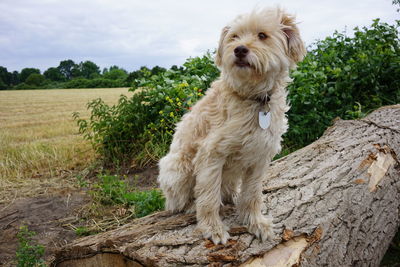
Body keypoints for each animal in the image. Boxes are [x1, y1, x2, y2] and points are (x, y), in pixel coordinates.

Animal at [158, 6, 304, 245]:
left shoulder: (260, 156)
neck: (254, 97)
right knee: (176, 203)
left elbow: (252, 195)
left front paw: (255, 222)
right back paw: (189, 206)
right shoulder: (211, 155)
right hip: (176, 168)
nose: (239, 50)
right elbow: (208, 197)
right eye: (234, 36)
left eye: (262, 35)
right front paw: (213, 228)